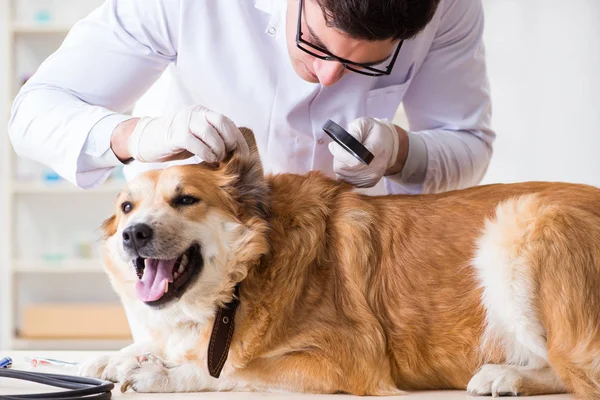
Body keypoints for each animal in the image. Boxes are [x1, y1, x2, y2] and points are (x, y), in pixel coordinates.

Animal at [79, 128, 600, 396]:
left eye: (185, 199)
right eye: (127, 207)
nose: (133, 234)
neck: (246, 276)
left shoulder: (346, 361)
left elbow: (232, 370)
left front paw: (161, 373)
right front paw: (120, 355)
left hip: (522, 220)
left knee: (576, 370)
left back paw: (505, 373)